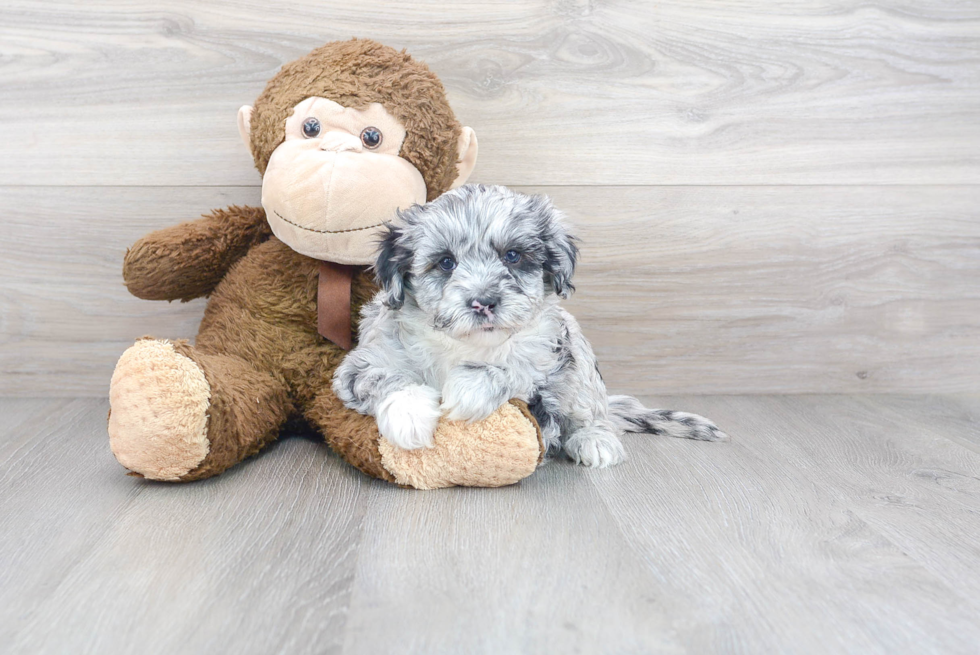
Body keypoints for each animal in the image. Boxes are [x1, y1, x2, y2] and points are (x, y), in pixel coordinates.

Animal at [334, 184, 724, 468]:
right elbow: (385, 376)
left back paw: (595, 441)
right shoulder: (361, 361)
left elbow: (515, 368)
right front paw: (409, 416)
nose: (484, 302)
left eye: (513, 256)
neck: (467, 345)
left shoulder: (551, 355)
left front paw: (470, 388)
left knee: (592, 413)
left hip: (582, 361)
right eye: (445, 262)